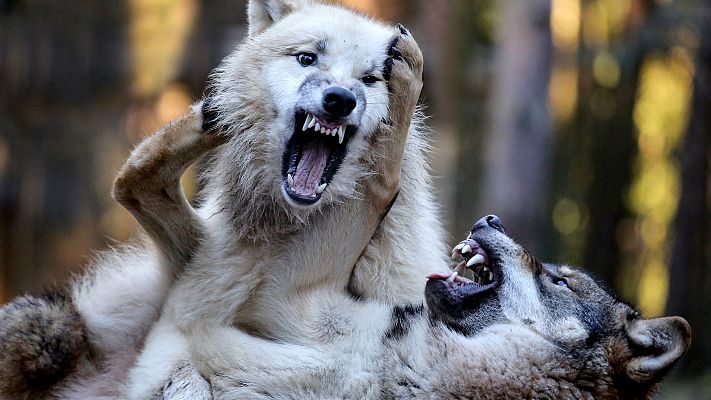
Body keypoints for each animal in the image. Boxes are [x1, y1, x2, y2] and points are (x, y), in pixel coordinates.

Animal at [0, 1, 444, 398]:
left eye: (370, 79)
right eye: (307, 58)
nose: (340, 99)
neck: (286, 229)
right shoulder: (208, 273)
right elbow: (139, 186)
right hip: (44, 327)